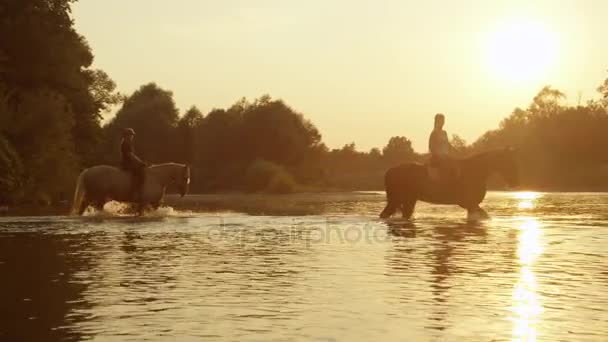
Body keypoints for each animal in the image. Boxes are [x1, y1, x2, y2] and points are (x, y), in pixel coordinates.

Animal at [380, 148, 516, 220]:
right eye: (509, 161)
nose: (514, 182)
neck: (474, 171)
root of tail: (390, 170)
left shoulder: (471, 205)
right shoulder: (470, 204)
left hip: (408, 200)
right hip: (400, 199)